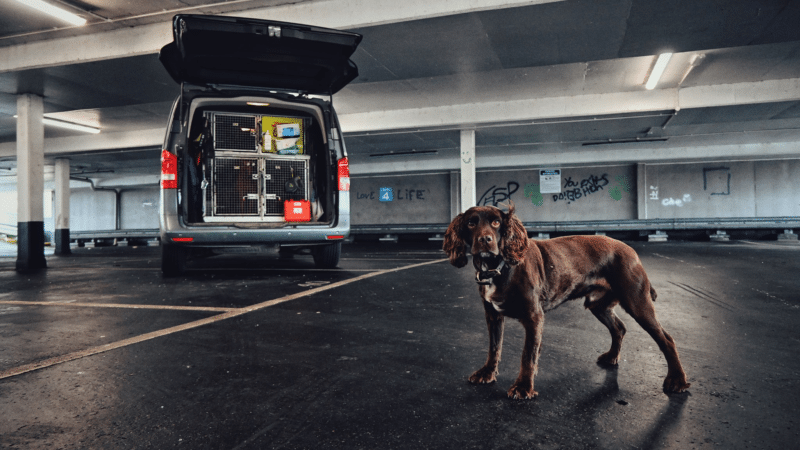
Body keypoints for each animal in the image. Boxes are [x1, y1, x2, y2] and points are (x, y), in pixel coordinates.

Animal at [440, 203, 692, 398]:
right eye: (471, 223)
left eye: (495, 223)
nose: (485, 240)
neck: (499, 269)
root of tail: (631, 251)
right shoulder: (492, 315)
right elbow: (494, 347)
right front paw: (487, 373)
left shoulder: (534, 317)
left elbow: (528, 355)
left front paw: (523, 387)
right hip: (598, 305)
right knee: (619, 328)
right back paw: (612, 356)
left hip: (637, 302)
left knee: (667, 339)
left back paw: (677, 380)